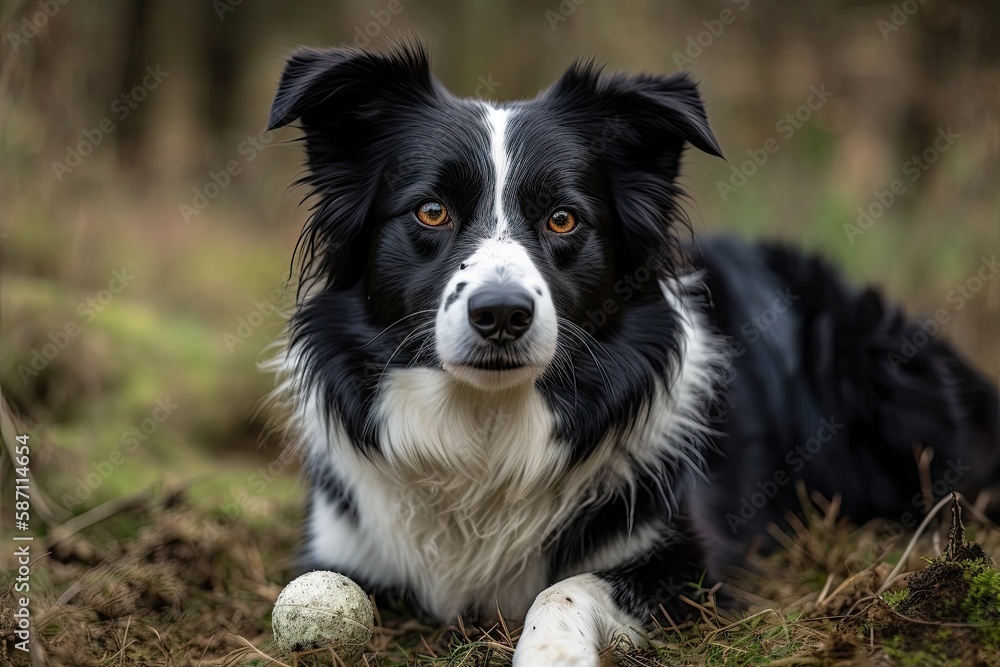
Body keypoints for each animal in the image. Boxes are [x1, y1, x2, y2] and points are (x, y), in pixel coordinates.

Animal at [266, 44, 1000, 664]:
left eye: (564, 219)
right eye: (431, 212)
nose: (501, 313)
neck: (488, 430)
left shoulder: (687, 564)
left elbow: (564, 586)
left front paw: (550, 653)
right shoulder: (342, 542)